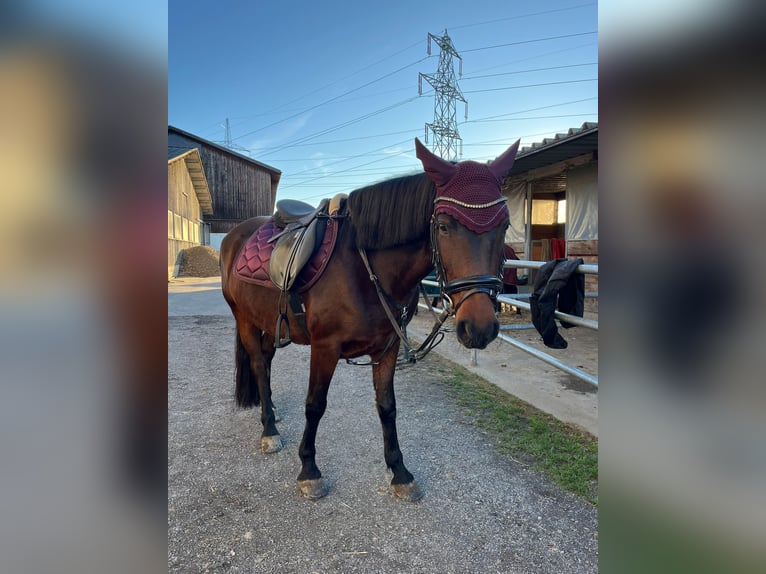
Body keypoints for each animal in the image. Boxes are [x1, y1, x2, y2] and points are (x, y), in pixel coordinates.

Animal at [222, 137, 520, 502]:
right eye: (444, 227)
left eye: (504, 226)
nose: (479, 327)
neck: (363, 267)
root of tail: (236, 234)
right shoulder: (325, 348)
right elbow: (315, 405)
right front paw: (309, 470)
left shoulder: (386, 348)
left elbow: (387, 407)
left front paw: (399, 472)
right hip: (245, 321)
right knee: (259, 367)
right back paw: (269, 429)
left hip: (267, 323)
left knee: (264, 362)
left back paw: (272, 414)